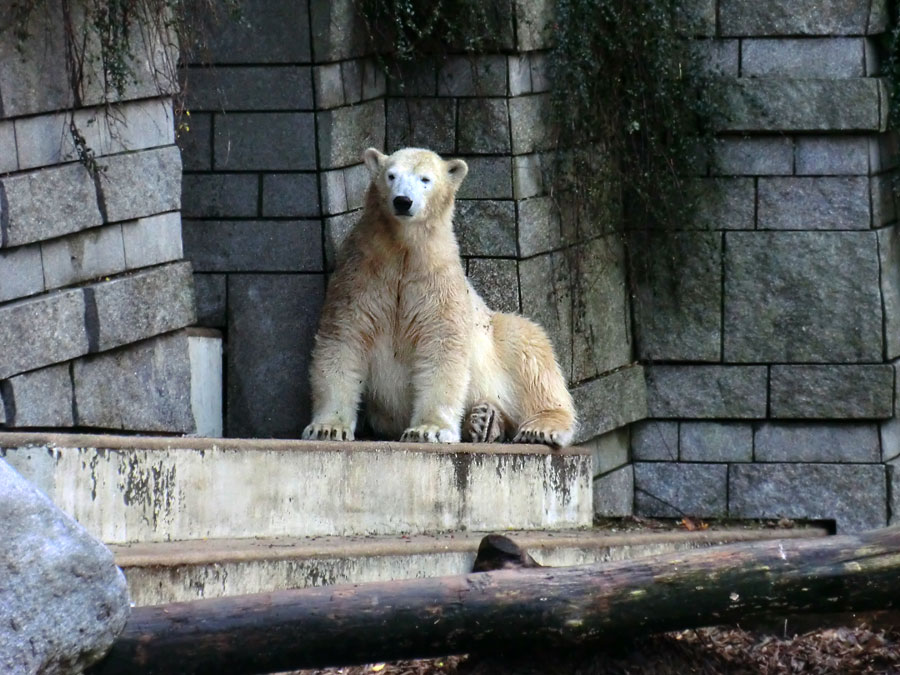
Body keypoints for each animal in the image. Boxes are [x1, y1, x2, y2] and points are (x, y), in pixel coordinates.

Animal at [298, 147, 572, 448]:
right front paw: (327, 428)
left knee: (529, 350)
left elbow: (441, 344)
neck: (404, 250)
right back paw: (482, 420)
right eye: (391, 175)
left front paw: (428, 430)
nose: (403, 201)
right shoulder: (361, 274)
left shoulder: (437, 281)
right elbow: (344, 337)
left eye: (425, 179)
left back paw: (538, 427)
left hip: (496, 339)